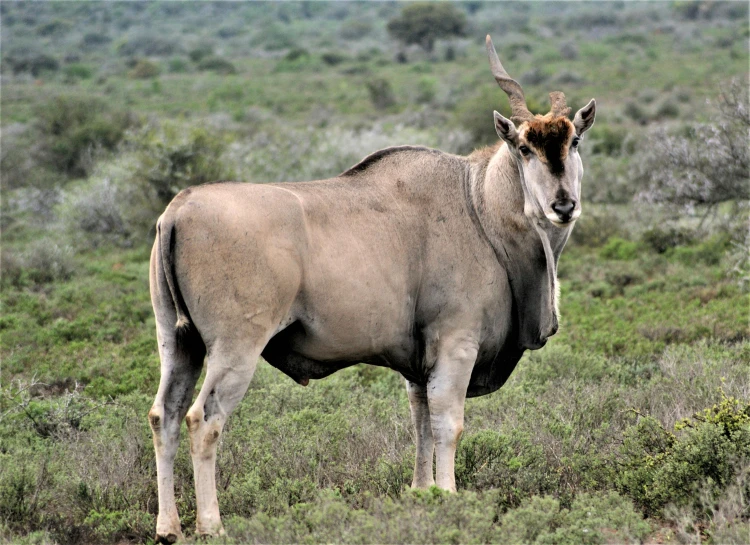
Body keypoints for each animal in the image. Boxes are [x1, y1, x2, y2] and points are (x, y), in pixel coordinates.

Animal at [148, 35, 600, 540]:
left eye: (574, 141)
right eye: (524, 148)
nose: (563, 204)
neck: (479, 203)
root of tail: (179, 209)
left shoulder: (418, 366)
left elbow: (420, 423)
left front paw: (422, 492)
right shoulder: (456, 345)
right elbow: (448, 424)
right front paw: (449, 497)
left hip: (178, 343)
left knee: (164, 416)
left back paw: (168, 527)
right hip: (235, 348)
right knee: (202, 420)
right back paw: (211, 525)